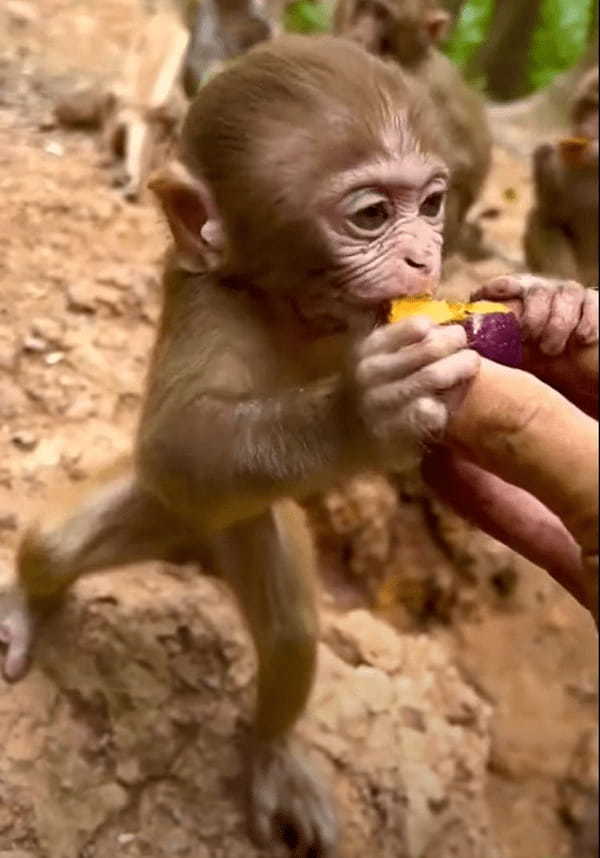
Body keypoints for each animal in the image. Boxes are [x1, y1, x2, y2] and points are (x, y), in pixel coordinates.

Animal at [0, 30, 596, 852]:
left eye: (431, 205)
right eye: (371, 215)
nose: (424, 256)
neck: (300, 307)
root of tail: (189, 545)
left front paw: (554, 302)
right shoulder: (209, 304)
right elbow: (178, 443)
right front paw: (366, 408)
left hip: (246, 528)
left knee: (289, 637)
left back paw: (273, 752)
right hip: (172, 507)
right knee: (61, 543)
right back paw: (28, 603)